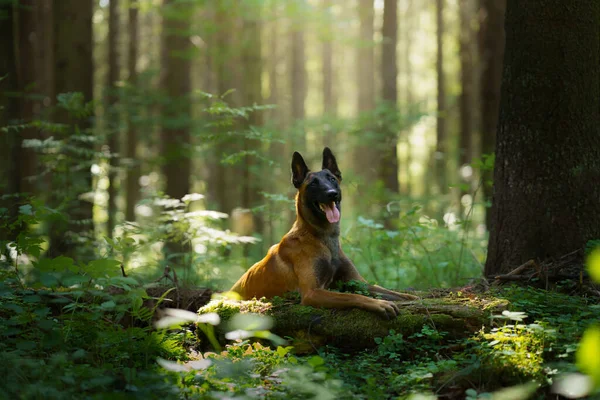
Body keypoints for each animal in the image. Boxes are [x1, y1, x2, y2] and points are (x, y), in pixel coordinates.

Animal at [230, 147, 418, 318]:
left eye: (332, 179)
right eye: (313, 183)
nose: (332, 193)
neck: (324, 238)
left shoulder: (359, 282)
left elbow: (390, 292)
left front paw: (412, 297)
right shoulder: (312, 292)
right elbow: (351, 296)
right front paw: (379, 304)